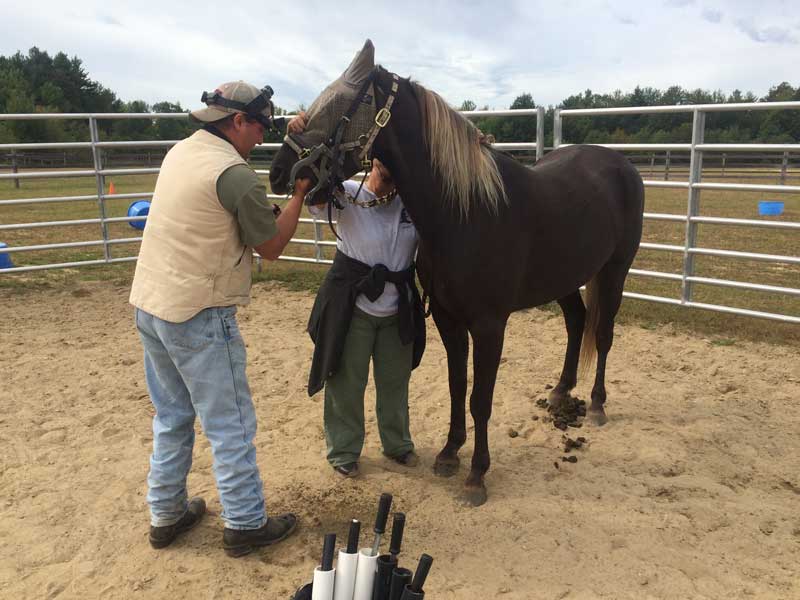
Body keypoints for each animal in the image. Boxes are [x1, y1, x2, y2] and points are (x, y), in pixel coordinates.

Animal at [268, 39, 644, 504]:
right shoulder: (448, 319)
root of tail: (622, 166)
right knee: (577, 321)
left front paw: (477, 474)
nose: (279, 172)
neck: (464, 212)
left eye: (343, 103)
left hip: (614, 271)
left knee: (603, 333)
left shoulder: (489, 326)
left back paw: (596, 403)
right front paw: (449, 454)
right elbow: (456, 386)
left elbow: (480, 398)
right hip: (565, 277)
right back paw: (560, 392)